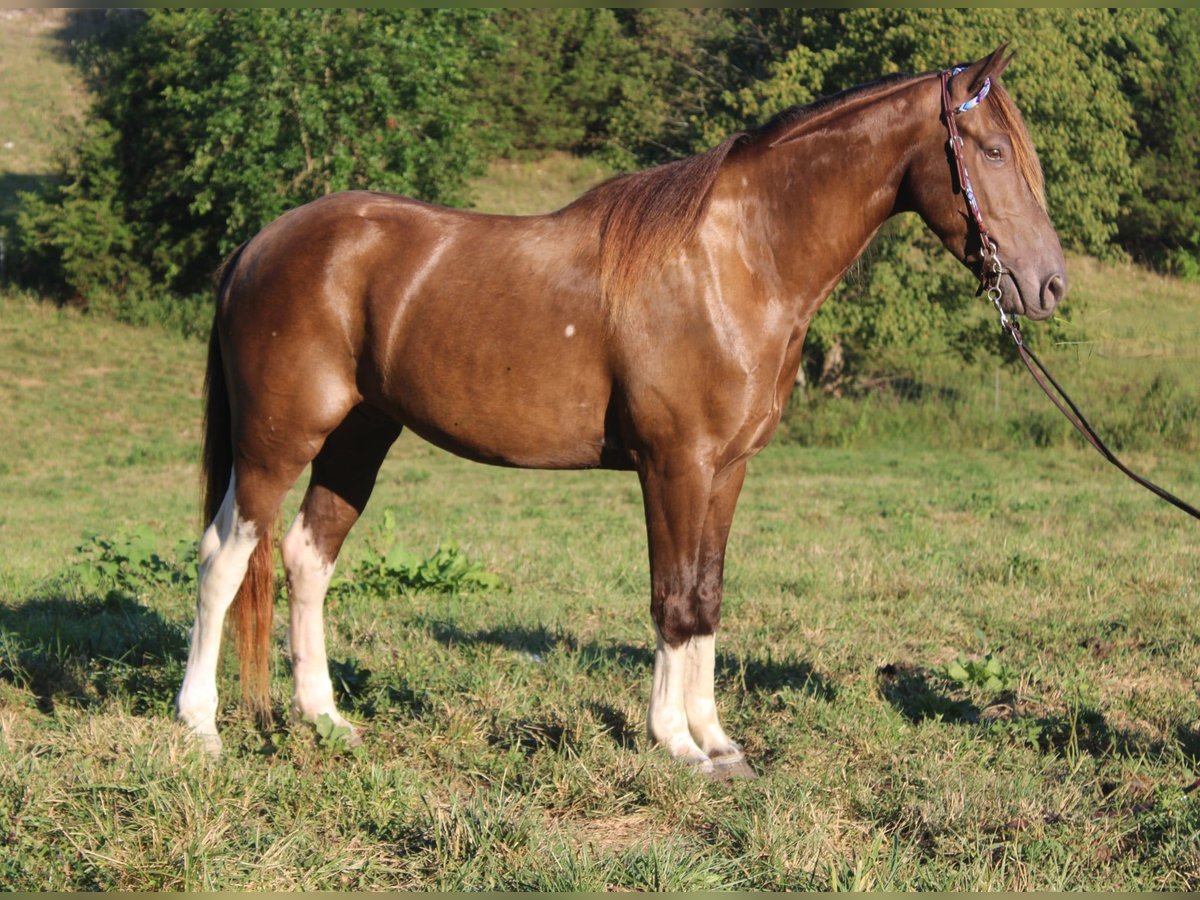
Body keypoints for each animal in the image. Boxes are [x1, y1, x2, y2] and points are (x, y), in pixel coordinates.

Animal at [175, 45, 1067, 775]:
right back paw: (202, 728)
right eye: (991, 151)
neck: (737, 263)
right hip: (276, 439)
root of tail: (259, 246)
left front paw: (719, 743)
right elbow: (672, 598)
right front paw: (676, 743)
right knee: (225, 556)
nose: (1048, 284)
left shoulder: (726, 471)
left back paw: (326, 720)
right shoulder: (674, 465)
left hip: (359, 435)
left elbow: (707, 596)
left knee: (306, 556)